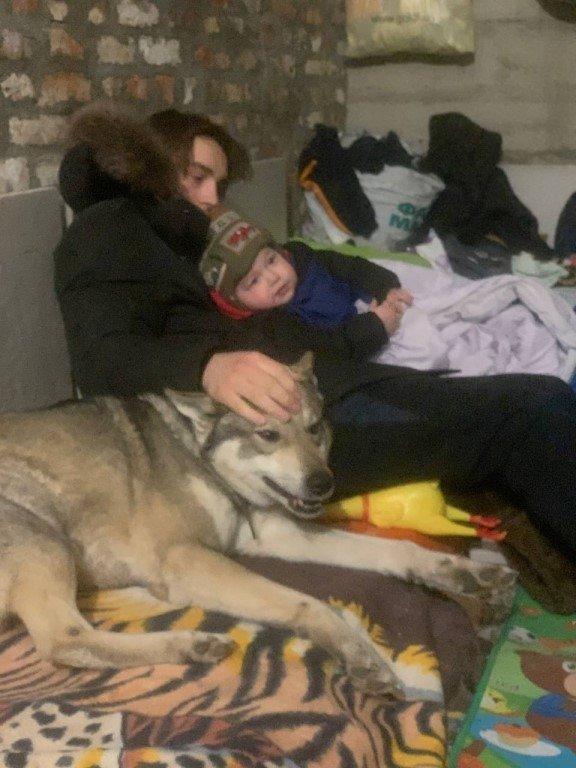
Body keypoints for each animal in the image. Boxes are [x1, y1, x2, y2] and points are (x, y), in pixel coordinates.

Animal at [0, 354, 516, 696]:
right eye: (267, 434)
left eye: (314, 428)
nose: (323, 484)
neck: (205, 460)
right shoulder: (185, 560)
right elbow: (313, 604)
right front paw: (359, 655)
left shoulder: (271, 533)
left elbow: (395, 551)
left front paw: (464, 573)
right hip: (45, 539)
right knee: (64, 640)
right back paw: (193, 644)